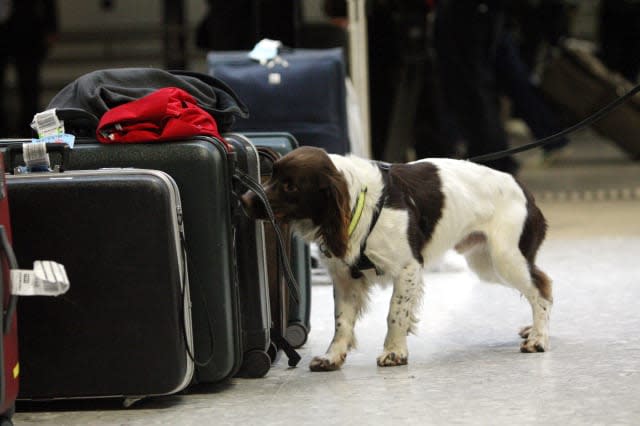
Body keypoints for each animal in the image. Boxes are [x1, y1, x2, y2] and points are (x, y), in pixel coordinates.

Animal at [242, 146, 552, 370]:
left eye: (290, 186)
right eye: (272, 175)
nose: (244, 200)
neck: (360, 203)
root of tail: (523, 188)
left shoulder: (408, 268)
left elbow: (395, 313)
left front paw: (393, 352)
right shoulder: (344, 278)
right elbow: (341, 321)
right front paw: (332, 357)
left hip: (505, 258)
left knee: (542, 290)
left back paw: (538, 337)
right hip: (484, 263)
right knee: (540, 284)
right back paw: (533, 330)